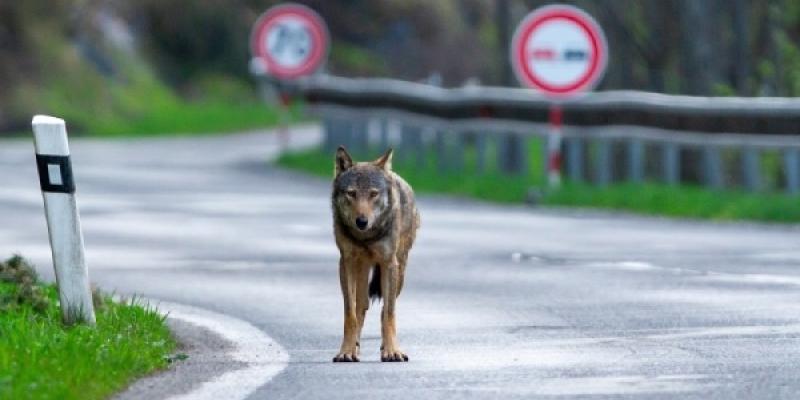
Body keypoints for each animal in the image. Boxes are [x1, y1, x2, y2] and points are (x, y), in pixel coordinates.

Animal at [330, 147, 418, 362]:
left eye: (373, 194)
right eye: (351, 193)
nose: (362, 221)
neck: (366, 237)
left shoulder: (388, 263)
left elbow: (389, 314)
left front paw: (393, 351)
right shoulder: (346, 263)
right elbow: (350, 314)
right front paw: (346, 351)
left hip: (399, 272)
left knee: (384, 309)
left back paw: (385, 348)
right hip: (361, 270)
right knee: (362, 305)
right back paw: (355, 347)